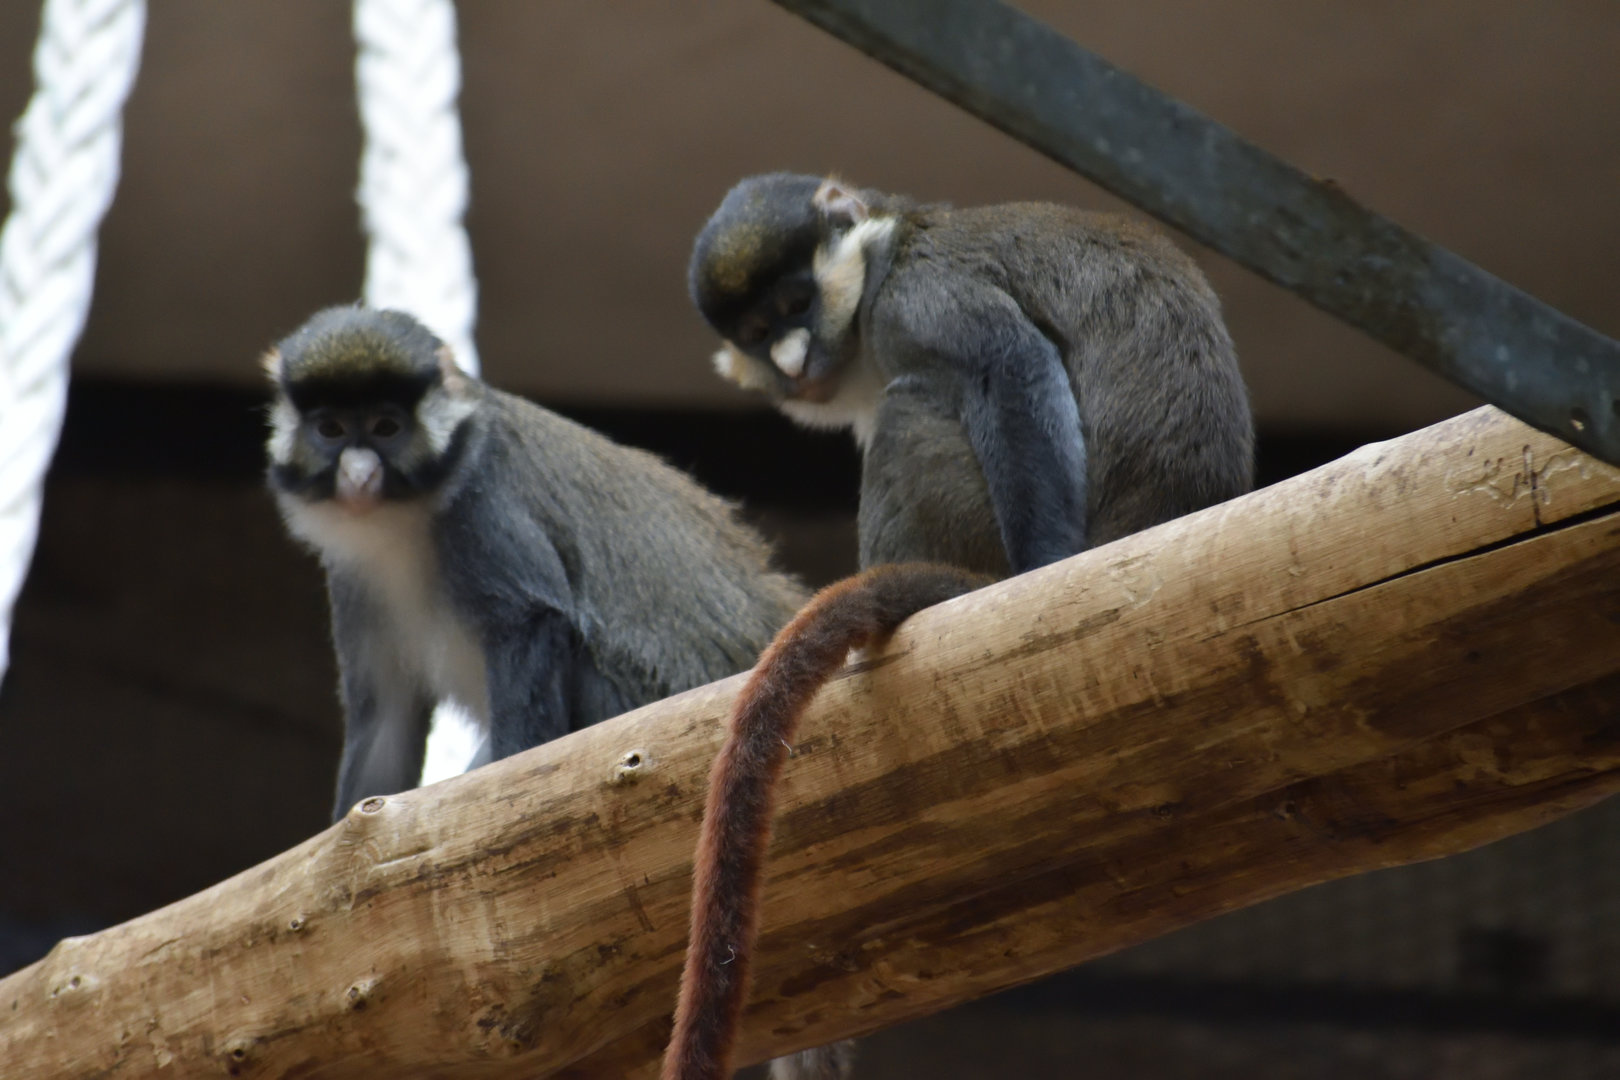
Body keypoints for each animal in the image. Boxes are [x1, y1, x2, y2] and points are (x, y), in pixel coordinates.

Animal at [662, 175, 1255, 1078]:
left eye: (798, 304)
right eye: (761, 333)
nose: (793, 362)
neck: (883, 251)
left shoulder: (918, 296)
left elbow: (1006, 366)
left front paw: (1046, 569)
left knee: (915, 404)